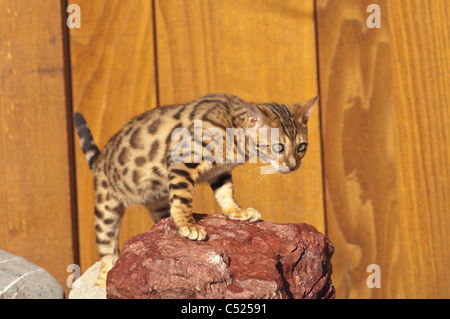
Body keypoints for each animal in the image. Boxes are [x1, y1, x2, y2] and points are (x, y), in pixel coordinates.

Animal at [74, 93, 316, 288]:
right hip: (106, 208)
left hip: (158, 203)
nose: (293, 166)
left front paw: (237, 212)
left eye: (302, 147)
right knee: (107, 250)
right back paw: (103, 278)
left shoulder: (221, 172)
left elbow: (226, 194)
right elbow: (183, 199)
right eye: (279, 147)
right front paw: (188, 226)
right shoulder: (181, 159)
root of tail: (101, 160)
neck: (235, 135)